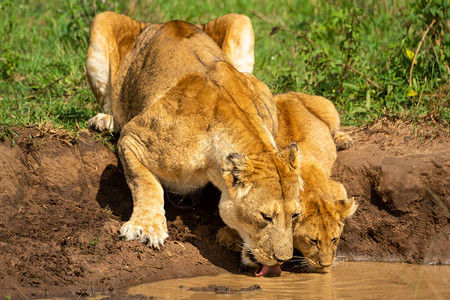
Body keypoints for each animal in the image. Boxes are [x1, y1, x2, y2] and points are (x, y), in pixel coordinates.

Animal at [85, 12, 300, 274]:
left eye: (295, 216)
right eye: (265, 217)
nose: (283, 259)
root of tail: (165, 22)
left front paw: (231, 235)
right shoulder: (133, 138)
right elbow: (145, 183)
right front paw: (145, 227)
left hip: (240, 20)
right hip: (102, 21)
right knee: (110, 103)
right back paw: (104, 120)